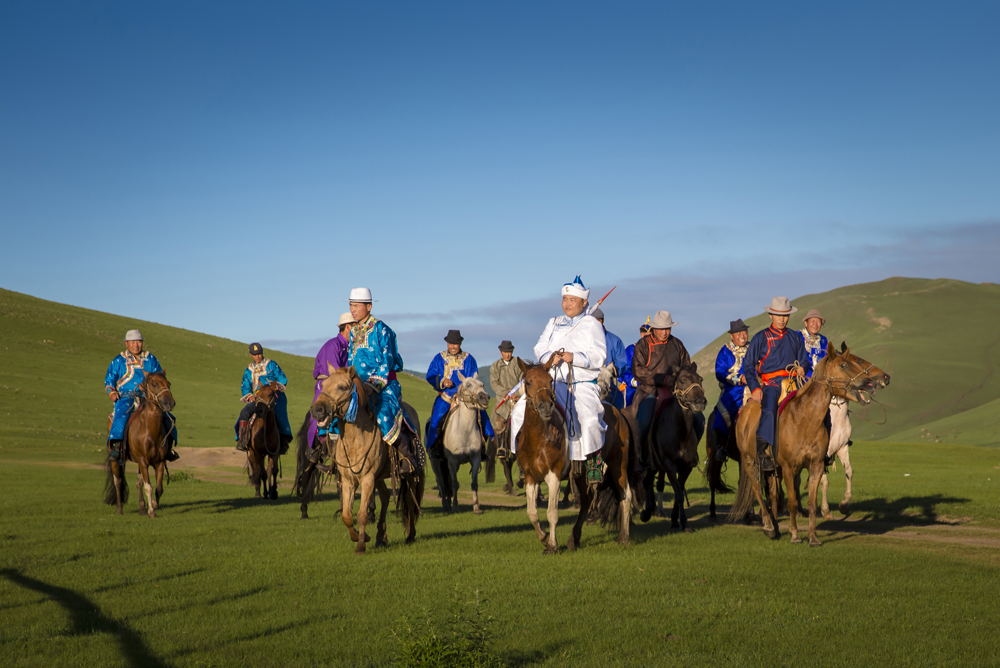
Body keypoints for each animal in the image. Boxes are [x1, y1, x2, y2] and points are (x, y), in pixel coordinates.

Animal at [103, 370, 176, 516]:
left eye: (168, 383)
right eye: (154, 384)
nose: (169, 403)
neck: (150, 431)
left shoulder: (159, 462)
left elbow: (159, 488)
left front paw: (153, 504)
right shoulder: (143, 460)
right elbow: (149, 487)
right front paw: (151, 511)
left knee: (138, 482)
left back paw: (142, 508)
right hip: (116, 460)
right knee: (118, 481)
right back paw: (120, 509)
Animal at [310, 366, 424, 552]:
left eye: (342, 387)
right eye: (323, 385)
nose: (316, 410)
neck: (356, 439)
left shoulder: (367, 478)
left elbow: (362, 514)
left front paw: (361, 545)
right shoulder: (348, 480)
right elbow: (347, 515)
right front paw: (360, 536)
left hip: (409, 476)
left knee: (409, 499)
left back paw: (410, 536)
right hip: (379, 477)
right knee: (385, 496)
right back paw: (380, 537)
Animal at [444, 374, 494, 516]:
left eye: (482, 384)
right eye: (468, 385)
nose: (484, 397)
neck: (464, 431)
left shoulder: (476, 459)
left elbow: (474, 483)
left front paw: (476, 507)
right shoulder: (452, 461)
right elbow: (455, 484)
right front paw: (455, 507)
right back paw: (447, 504)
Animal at [636, 362, 708, 528]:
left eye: (700, 379)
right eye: (682, 380)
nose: (700, 402)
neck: (680, 434)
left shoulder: (686, 466)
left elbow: (679, 492)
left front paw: (676, 520)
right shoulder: (669, 465)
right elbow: (679, 494)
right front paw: (684, 523)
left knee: (649, 481)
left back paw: (649, 510)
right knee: (646, 481)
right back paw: (646, 512)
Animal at [728, 344, 876, 548]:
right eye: (844, 365)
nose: (870, 383)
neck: (805, 420)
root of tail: (746, 409)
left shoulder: (816, 466)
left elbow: (812, 504)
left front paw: (813, 538)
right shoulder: (789, 468)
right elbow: (791, 503)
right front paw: (795, 536)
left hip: (772, 469)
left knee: (772, 494)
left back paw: (775, 525)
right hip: (751, 462)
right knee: (758, 490)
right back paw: (768, 526)